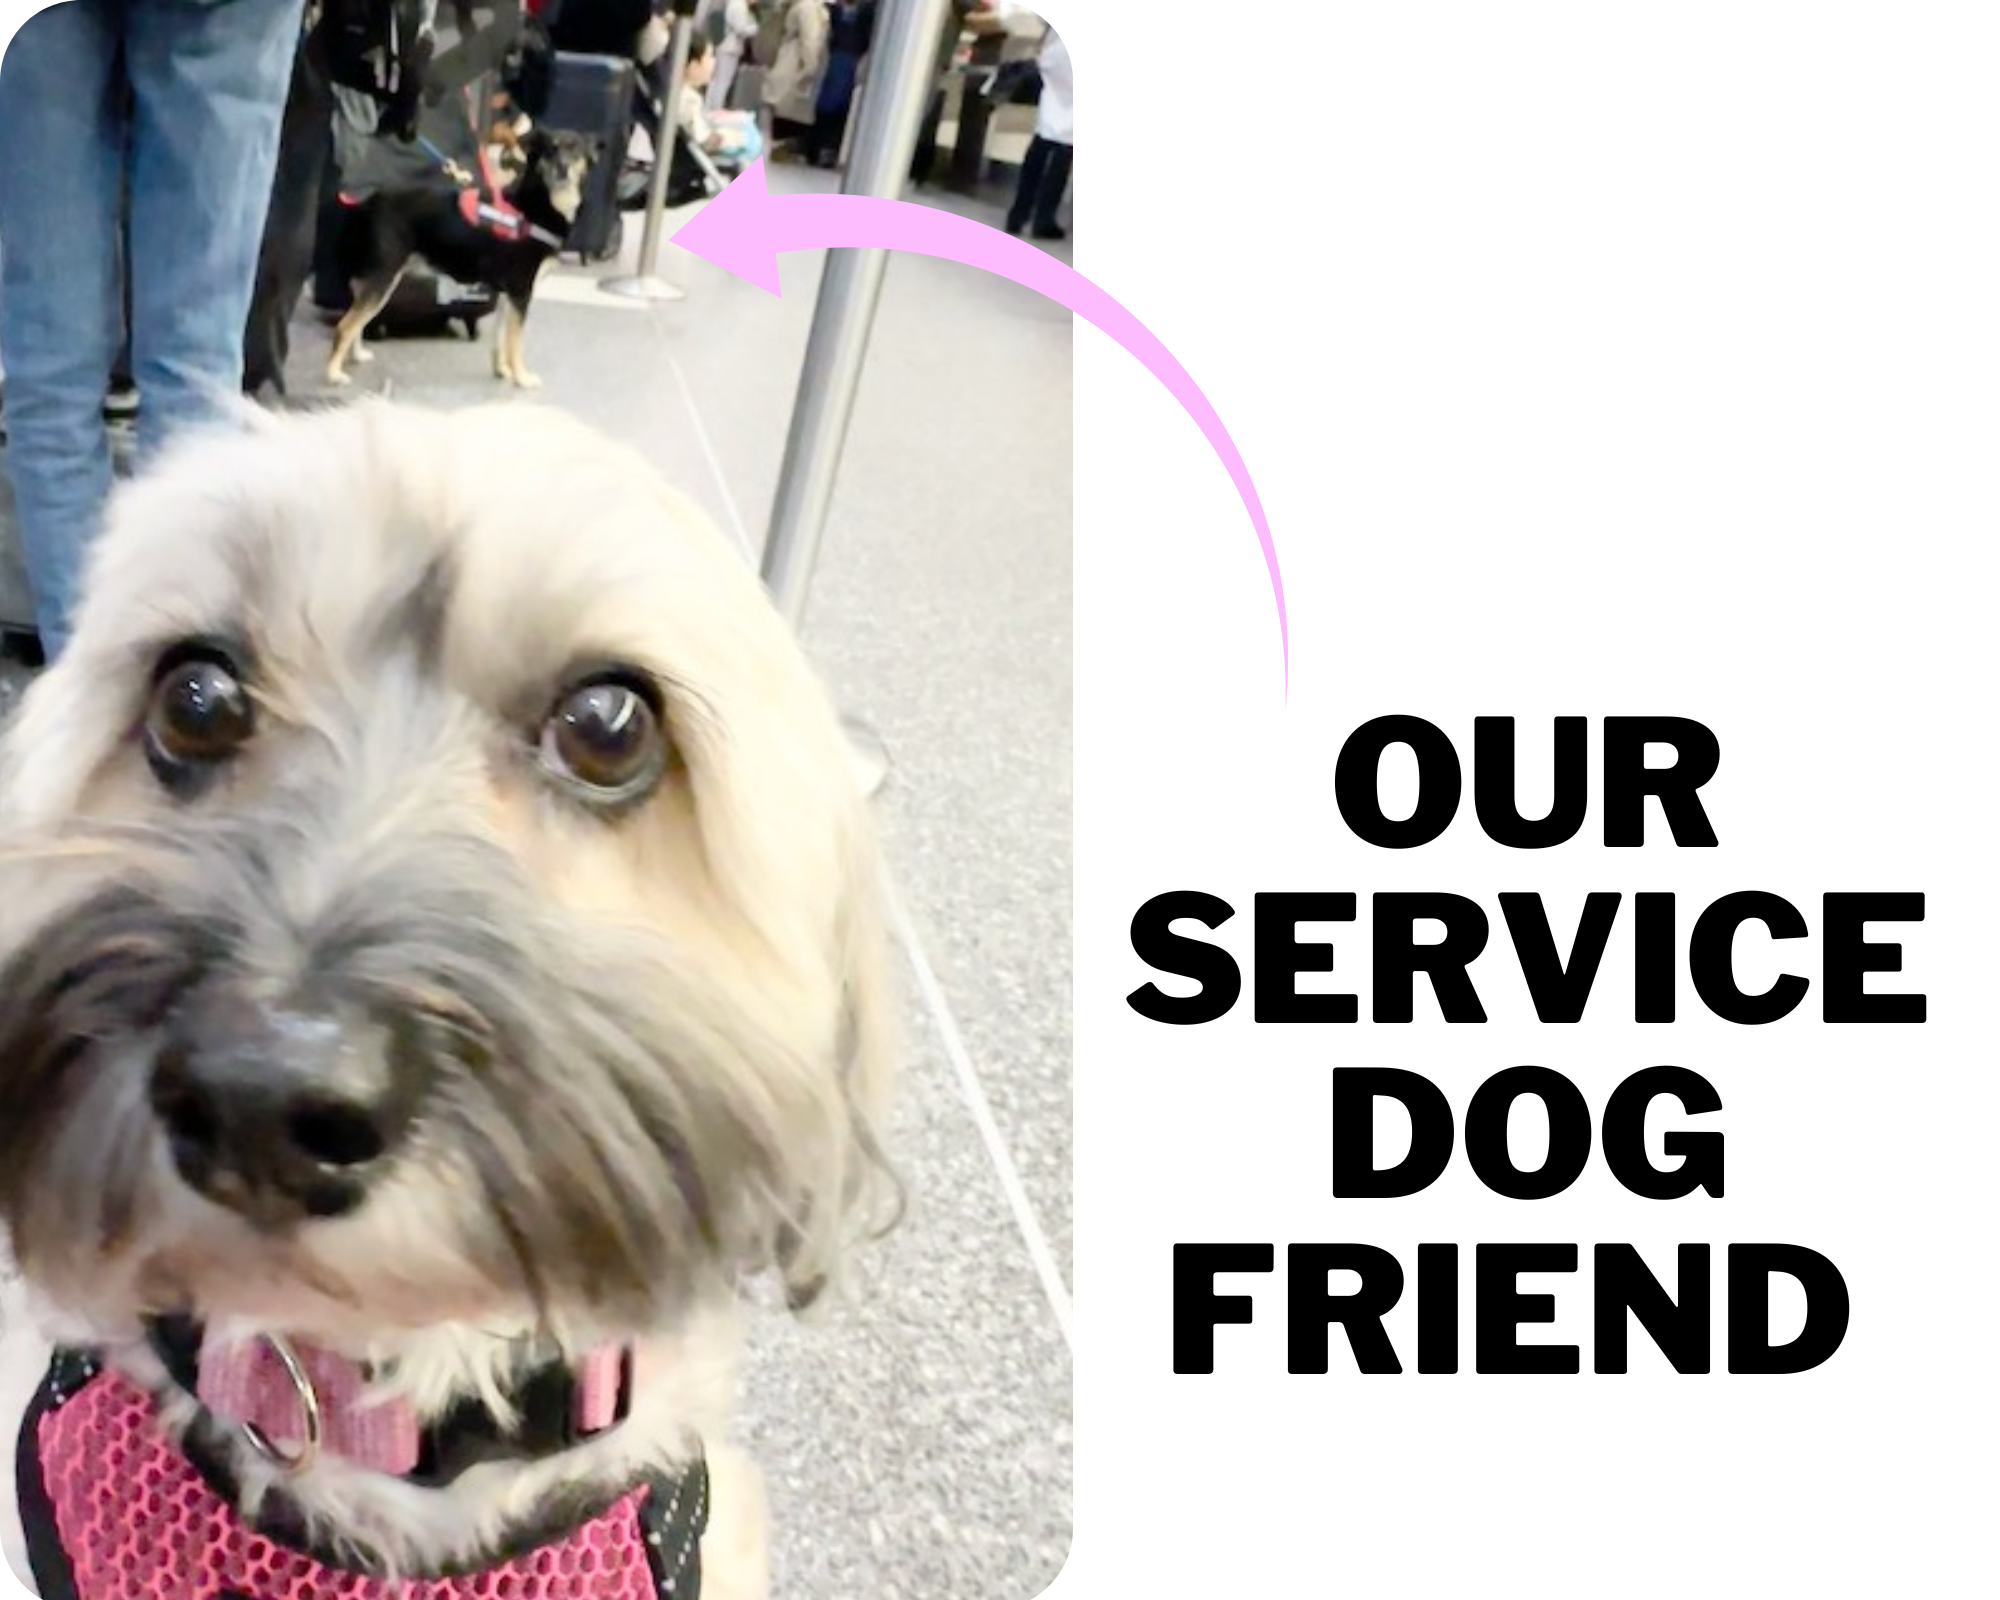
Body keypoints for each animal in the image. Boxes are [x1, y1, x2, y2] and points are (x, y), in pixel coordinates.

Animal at [322, 128, 592, 390]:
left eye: (576, 151)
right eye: (549, 150)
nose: (563, 167)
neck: (537, 205)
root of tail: (371, 201)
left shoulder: (509, 295)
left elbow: (500, 339)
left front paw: (502, 370)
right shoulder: (521, 292)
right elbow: (515, 343)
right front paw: (522, 378)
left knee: (356, 323)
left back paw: (356, 355)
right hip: (383, 279)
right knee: (345, 326)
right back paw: (333, 374)